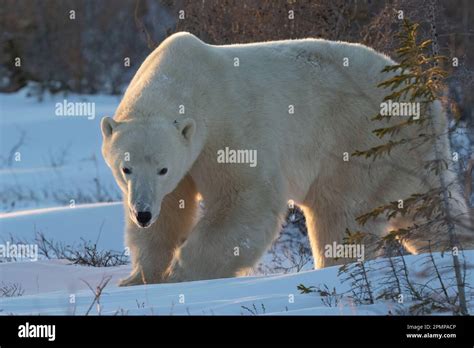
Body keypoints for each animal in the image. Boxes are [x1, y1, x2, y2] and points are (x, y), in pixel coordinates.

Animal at [102, 32, 472, 286]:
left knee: (339, 213)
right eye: (125, 168)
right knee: (430, 209)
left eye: (163, 168)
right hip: (411, 153)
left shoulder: (227, 128)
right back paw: (458, 246)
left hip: (360, 141)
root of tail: (427, 102)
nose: (142, 213)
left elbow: (245, 200)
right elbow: (170, 213)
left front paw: (181, 273)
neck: (183, 77)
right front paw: (137, 279)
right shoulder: (176, 170)